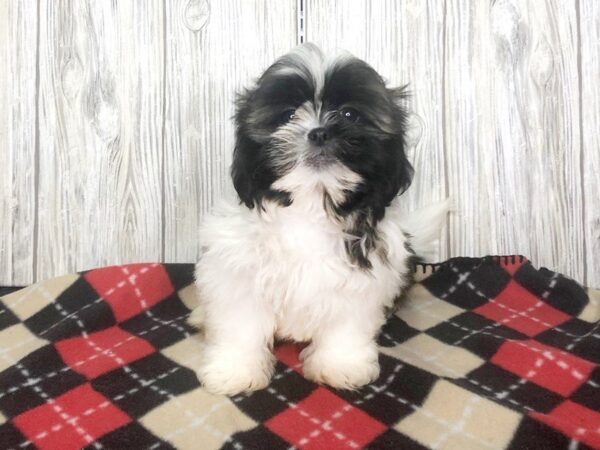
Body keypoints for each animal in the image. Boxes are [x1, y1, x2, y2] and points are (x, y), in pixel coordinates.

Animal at [190, 42, 448, 394]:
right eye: (288, 115)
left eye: (350, 114)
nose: (320, 132)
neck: (310, 204)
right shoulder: (238, 269)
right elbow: (240, 322)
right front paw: (235, 370)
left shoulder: (363, 278)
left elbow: (347, 324)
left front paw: (341, 365)